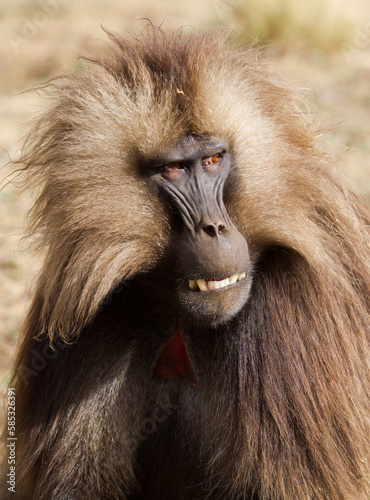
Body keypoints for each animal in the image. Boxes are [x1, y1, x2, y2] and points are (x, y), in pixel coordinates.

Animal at [2, 28, 370, 500]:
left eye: (213, 160)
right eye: (174, 169)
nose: (214, 229)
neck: (180, 319)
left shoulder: (292, 315)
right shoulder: (93, 323)